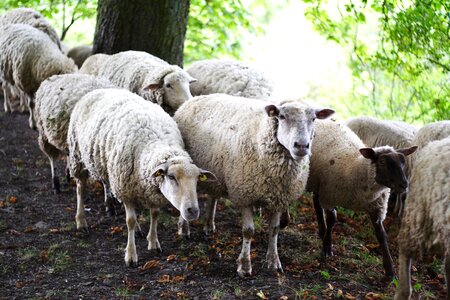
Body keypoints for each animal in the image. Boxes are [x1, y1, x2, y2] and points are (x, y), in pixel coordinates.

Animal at [67, 88, 215, 266]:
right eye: (171, 177)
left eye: (197, 179)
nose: (192, 211)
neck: (154, 143)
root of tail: (99, 89)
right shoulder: (125, 189)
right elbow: (129, 221)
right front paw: (131, 255)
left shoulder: (153, 190)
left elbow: (155, 215)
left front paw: (153, 242)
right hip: (77, 155)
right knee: (81, 189)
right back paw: (81, 221)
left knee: (105, 182)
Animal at [174, 94, 336, 276]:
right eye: (281, 116)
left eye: (313, 118)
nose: (301, 146)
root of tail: (194, 98)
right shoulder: (245, 195)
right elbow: (248, 231)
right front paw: (244, 265)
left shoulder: (279, 198)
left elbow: (274, 229)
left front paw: (273, 261)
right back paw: (184, 228)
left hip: (215, 171)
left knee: (213, 195)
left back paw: (209, 225)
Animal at [308, 119, 416, 278]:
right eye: (382, 162)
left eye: (403, 162)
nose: (404, 184)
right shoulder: (329, 196)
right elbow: (332, 219)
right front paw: (327, 247)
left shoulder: (377, 207)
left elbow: (381, 235)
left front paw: (390, 270)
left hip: (318, 182)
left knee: (316, 200)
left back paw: (322, 230)